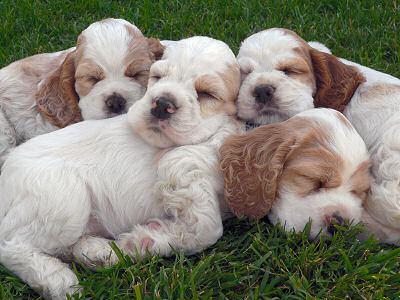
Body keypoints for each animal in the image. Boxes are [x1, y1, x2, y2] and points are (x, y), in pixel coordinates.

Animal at [0, 35, 242, 298]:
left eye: (207, 93)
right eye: (156, 77)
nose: (162, 103)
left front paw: (142, 241)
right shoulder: (179, 163)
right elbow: (210, 227)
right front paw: (141, 240)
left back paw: (97, 251)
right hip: (65, 201)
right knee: (10, 244)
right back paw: (58, 280)